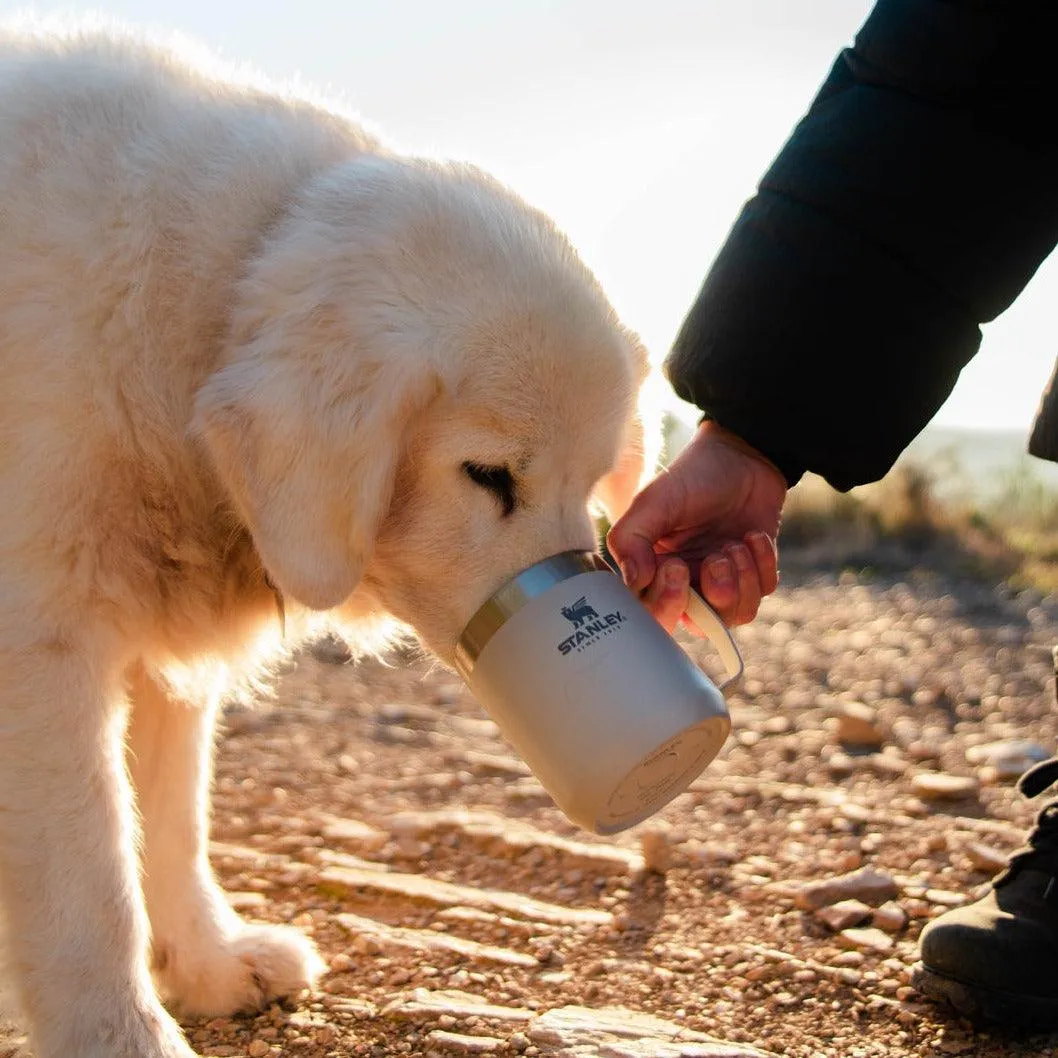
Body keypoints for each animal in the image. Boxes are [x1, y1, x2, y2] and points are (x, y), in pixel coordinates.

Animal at [0, 22, 651, 1058]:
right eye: (490, 476)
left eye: (589, 488)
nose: (569, 603)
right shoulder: (41, 647)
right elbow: (90, 878)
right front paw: (119, 1033)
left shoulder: (156, 650)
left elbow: (170, 822)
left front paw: (210, 961)